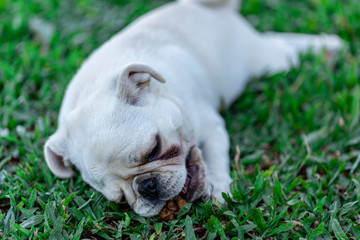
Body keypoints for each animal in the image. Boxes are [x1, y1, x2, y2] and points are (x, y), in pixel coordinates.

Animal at [43, 0, 342, 217]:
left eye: (154, 150)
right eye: (121, 200)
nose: (147, 186)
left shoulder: (212, 128)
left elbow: (216, 158)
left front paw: (219, 188)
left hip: (265, 61)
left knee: (283, 50)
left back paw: (328, 45)